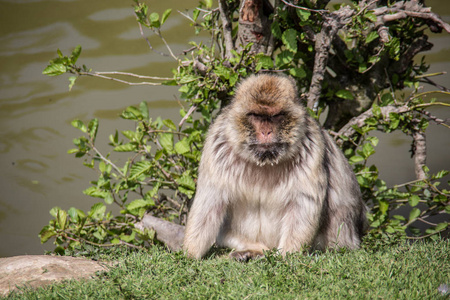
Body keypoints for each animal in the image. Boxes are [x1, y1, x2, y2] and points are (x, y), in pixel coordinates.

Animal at [183, 74, 370, 260]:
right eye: (256, 115)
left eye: (276, 116)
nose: (266, 132)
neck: (264, 162)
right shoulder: (217, 145)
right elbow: (210, 203)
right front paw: (189, 253)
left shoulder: (311, 146)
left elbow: (302, 204)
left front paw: (287, 256)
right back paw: (252, 251)